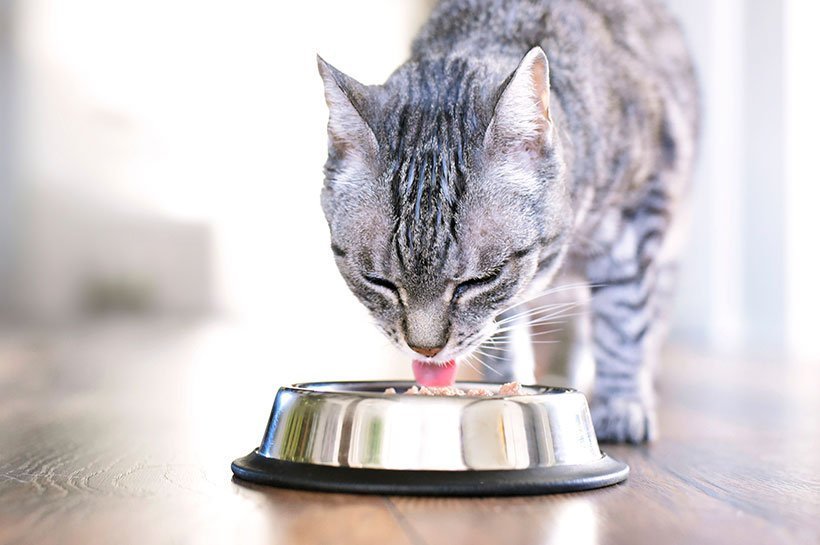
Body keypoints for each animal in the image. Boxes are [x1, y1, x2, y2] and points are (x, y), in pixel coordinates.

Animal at [320, 0, 700, 442]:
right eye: (377, 281)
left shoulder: (637, 215)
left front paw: (623, 402)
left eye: (478, 281)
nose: (426, 350)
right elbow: (502, 335)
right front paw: (508, 389)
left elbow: (624, 319)